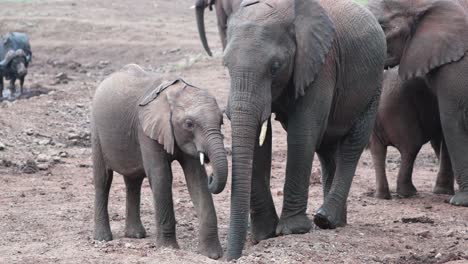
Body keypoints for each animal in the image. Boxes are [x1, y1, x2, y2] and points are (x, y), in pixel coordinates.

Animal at [91, 64, 227, 260]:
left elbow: (197, 180)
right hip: (96, 130)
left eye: (221, 121)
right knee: (102, 180)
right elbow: (161, 176)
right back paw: (103, 238)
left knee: (133, 181)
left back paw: (136, 235)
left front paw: (212, 254)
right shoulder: (145, 130)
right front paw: (168, 248)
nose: (212, 174)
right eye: (189, 124)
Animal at [225, 0, 386, 260]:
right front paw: (265, 234)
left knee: (353, 145)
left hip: (374, 84)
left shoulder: (322, 64)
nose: (232, 257)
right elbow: (261, 140)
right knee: (328, 151)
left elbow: (303, 133)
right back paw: (336, 222)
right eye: (226, 66)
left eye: (275, 67)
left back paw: (325, 219)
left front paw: (292, 230)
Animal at [370, 67, 454, 199]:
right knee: (412, 146)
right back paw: (409, 193)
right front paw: (444, 192)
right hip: (400, 110)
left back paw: (382, 196)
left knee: (377, 151)